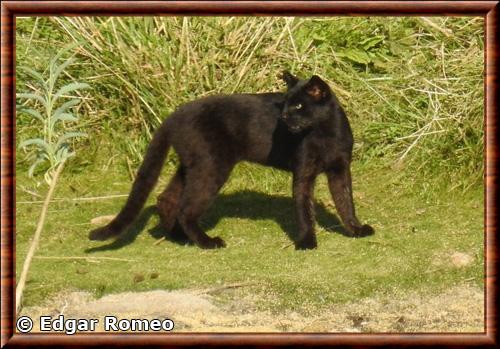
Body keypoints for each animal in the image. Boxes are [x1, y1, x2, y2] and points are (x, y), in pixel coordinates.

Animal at [90, 72, 374, 249]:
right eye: (285, 104)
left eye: (299, 106)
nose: (283, 117)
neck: (325, 133)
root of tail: (173, 116)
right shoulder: (303, 172)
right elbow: (304, 208)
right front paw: (306, 242)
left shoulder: (340, 168)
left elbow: (345, 201)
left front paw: (356, 229)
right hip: (211, 167)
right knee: (186, 208)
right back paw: (208, 242)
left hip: (192, 165)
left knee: (167, 199)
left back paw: (179, 238)